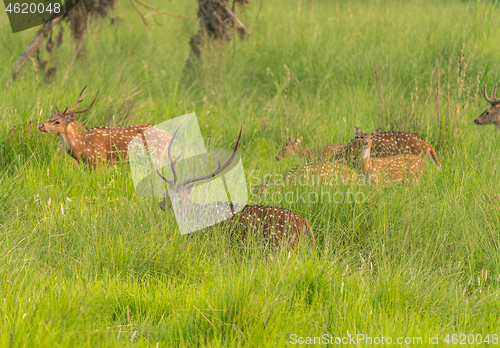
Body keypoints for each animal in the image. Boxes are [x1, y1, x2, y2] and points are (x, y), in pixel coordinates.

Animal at [39, 87, 172, 169]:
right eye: (51, 117)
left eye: (57, 122)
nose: (41, 126)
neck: (81, 148)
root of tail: (169, 134)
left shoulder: (99, 162)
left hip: (156, 156)